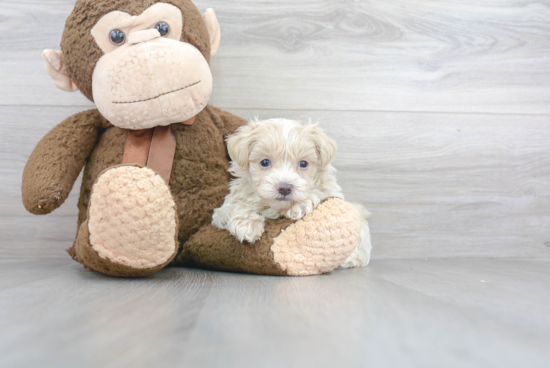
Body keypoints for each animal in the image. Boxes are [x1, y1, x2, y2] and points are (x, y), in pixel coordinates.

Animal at [213, 119, 374, 268]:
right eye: (264, 162)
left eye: (303, 164)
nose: (285, 188)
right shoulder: (222, 211)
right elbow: (234, 207)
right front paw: (248, 226)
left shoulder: (331, 192)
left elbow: (319, 193)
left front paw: (301, 205)